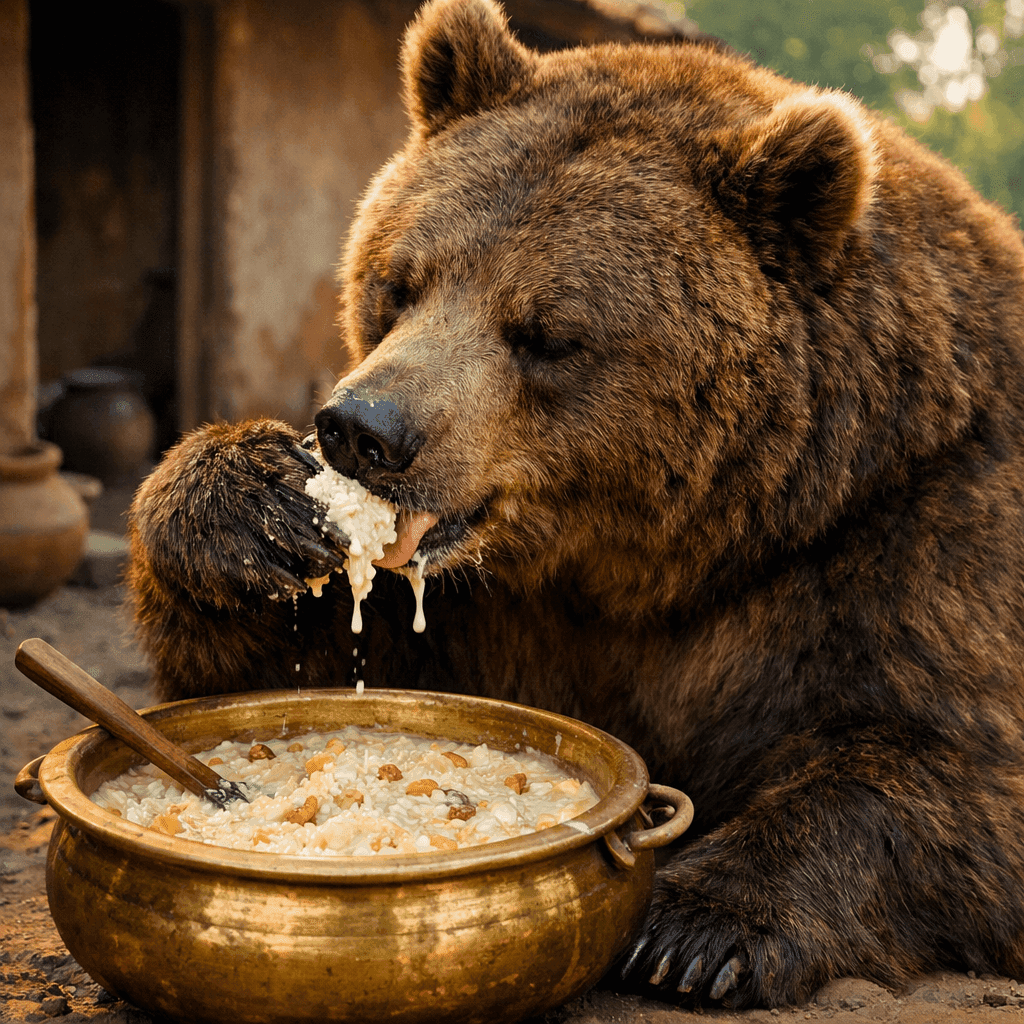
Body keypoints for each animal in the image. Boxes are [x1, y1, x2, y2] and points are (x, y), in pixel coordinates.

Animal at [126, 0, 1024, 1009]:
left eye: (548, 332)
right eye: (400, 281)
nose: (363, 428)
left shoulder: (905, 536)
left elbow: (937, 761)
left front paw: (692, 928)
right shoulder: (497, 610)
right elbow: (281, 671)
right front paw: (247, 503)